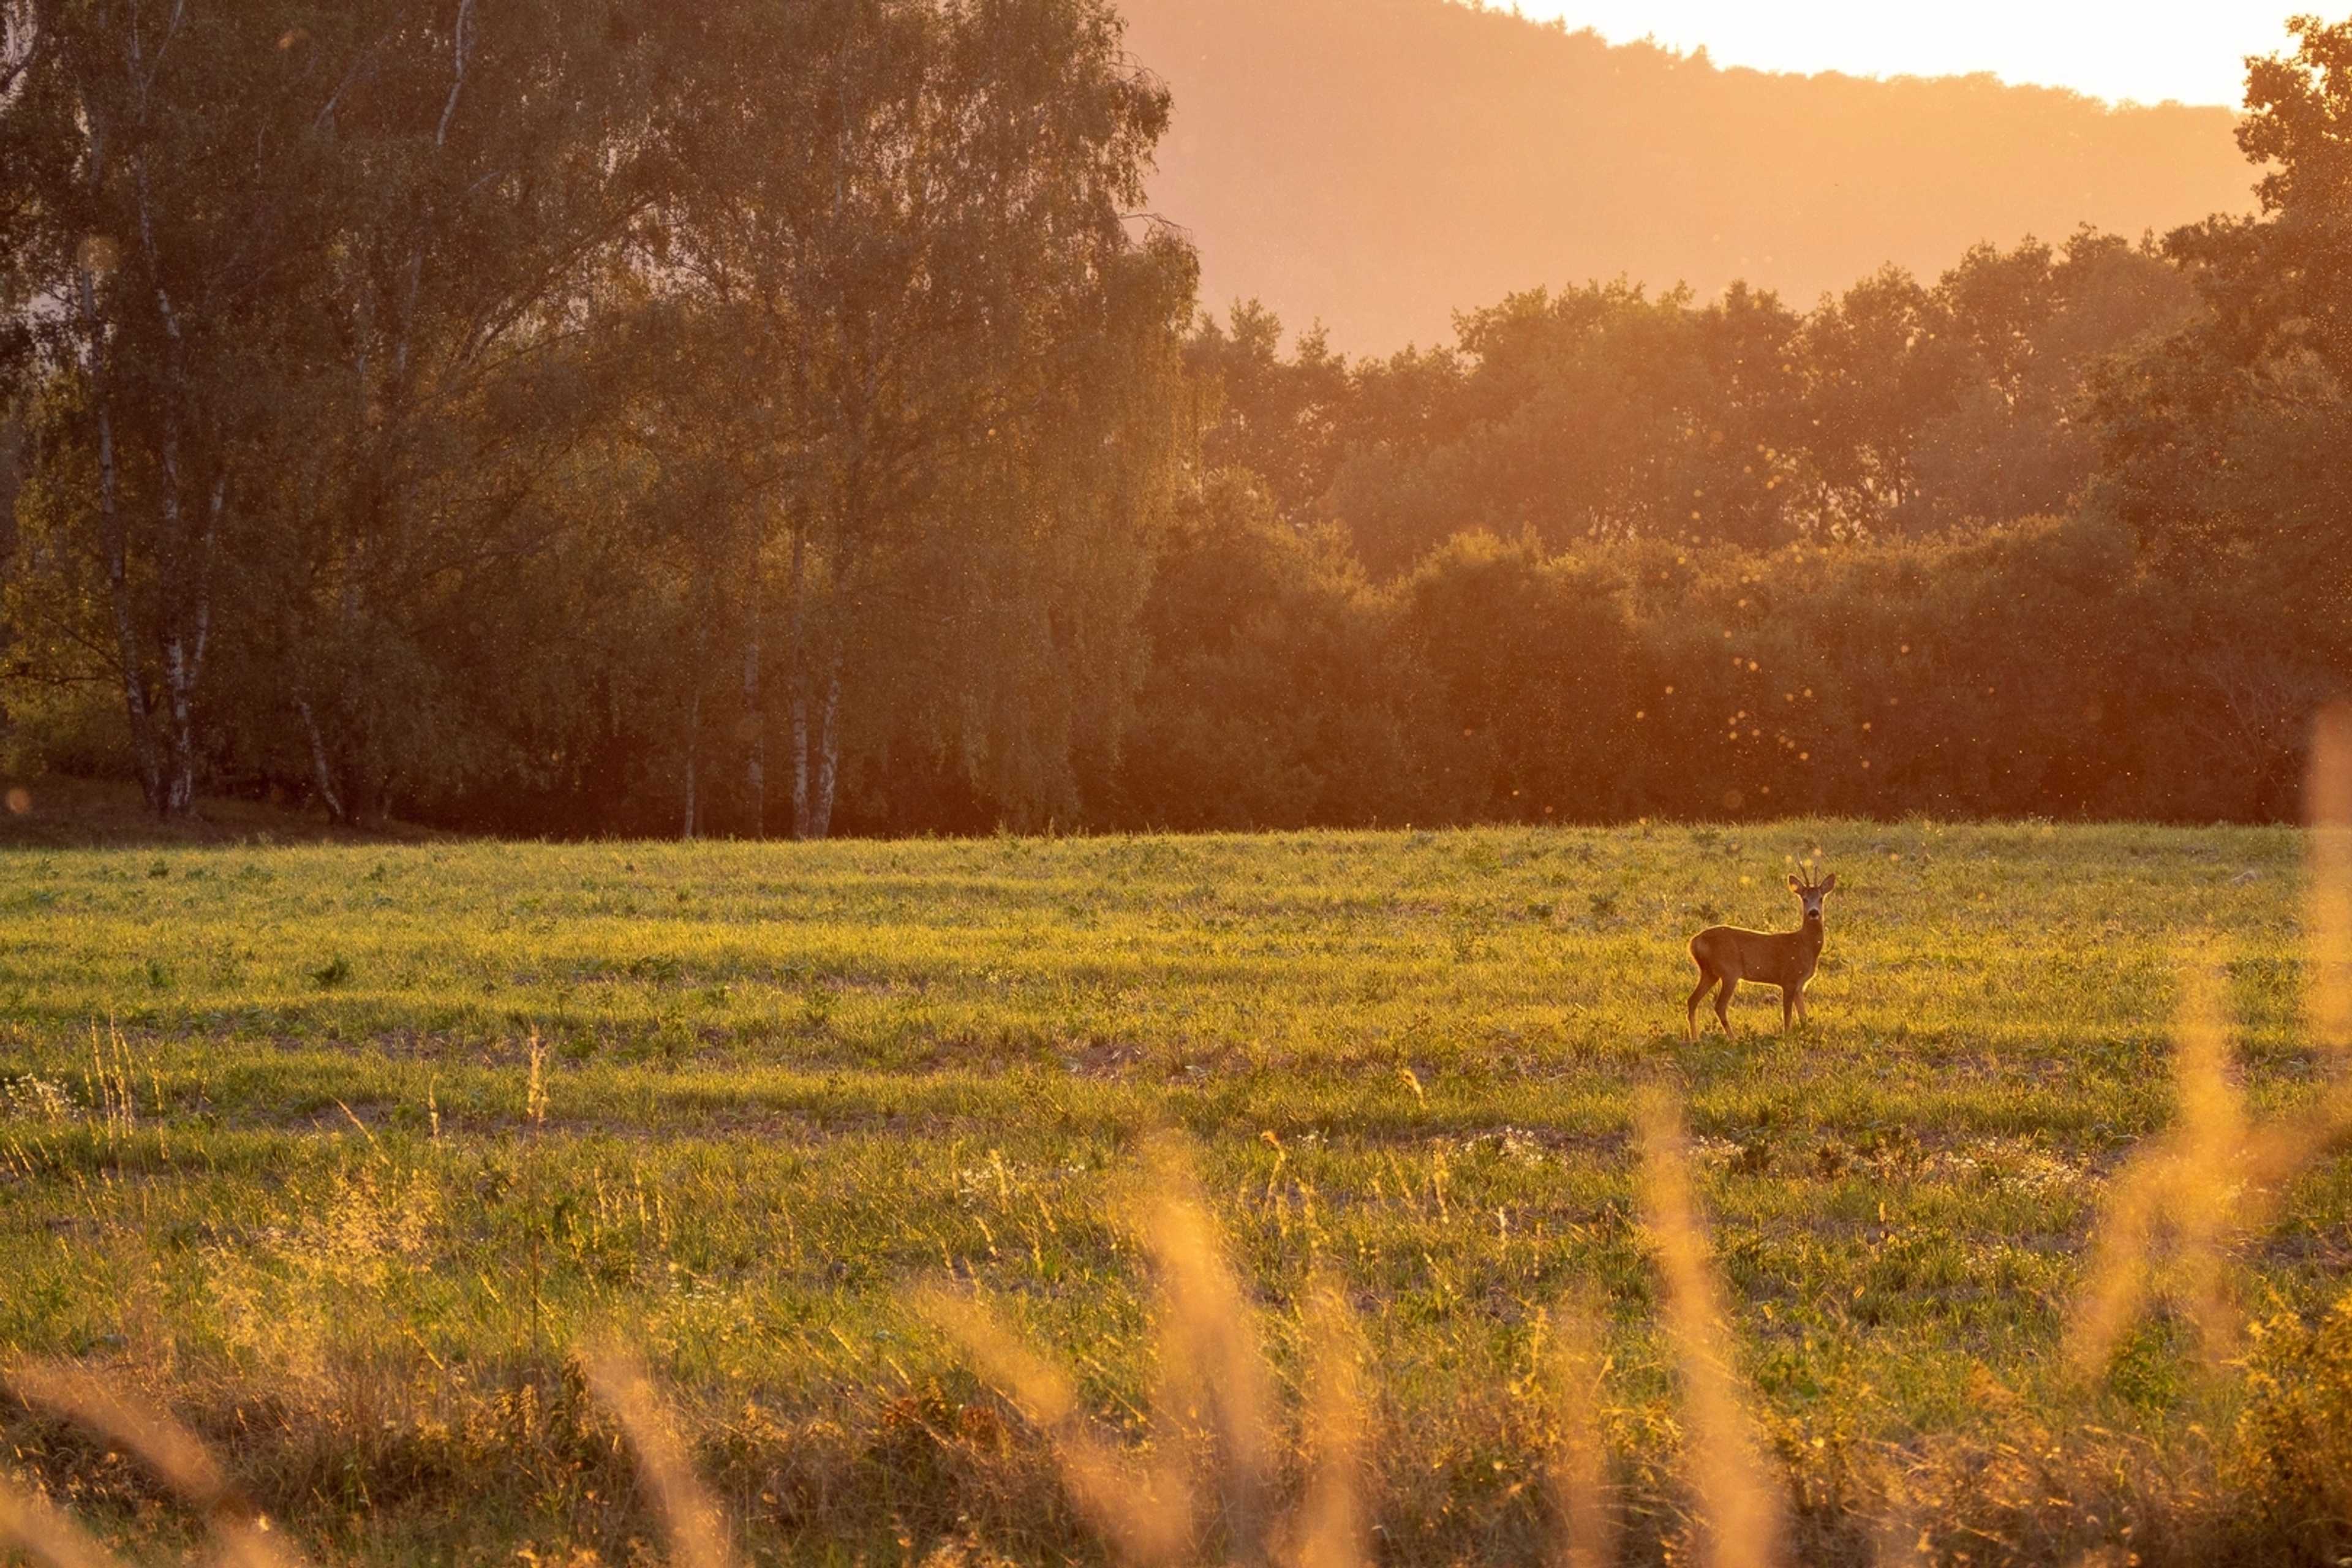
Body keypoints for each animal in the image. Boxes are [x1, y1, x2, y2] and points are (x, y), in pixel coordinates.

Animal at [1685, 870, 1836, 1040]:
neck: (1805, 945)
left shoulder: (1799, 985)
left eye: (1821, 898)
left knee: (1692, 1001)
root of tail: (1694, 943)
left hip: (1710, 973)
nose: (1814, 912)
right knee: (1719, 1006)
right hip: (1729, 971)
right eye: (1804, 899)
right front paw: (1787, 1038)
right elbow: (1788, 1016)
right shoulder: (1788, 979)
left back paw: (1695, 1039)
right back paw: (1733, 1039)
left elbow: (1803, 1017)